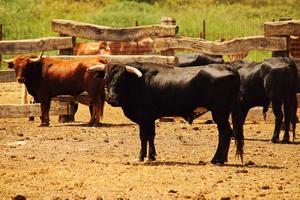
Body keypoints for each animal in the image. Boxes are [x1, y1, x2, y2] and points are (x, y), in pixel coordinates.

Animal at [88, 62, 243, 164]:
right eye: (106, 78)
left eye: (122, 79)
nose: (111, 98)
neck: (137, 83)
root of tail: (226, 67)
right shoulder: (149, 119)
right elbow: (150, 136)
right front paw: (151, 155)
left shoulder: (145, 117)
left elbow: (144, 136)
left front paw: (142, 156)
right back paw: (221, 159)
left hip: (220, 112)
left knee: (225, 133)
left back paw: (217, 159)